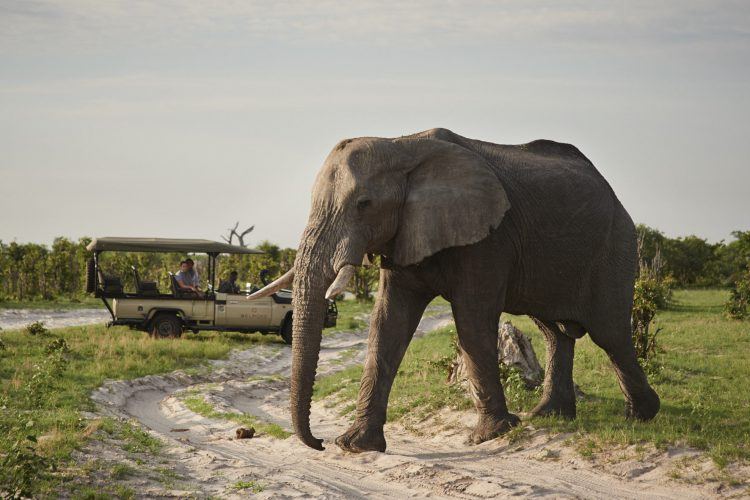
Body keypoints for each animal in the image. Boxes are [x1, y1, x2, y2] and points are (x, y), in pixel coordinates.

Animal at [253, 126, 664, 454]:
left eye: (364, 204)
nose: (319, 442)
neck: (401, 145)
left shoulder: (488, 238)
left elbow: (472, 320)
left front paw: (490, 436)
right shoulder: (405, 234)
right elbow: (388, 323)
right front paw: (356, 446)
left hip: (617, 246)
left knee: (609, 332)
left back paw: (642, 416)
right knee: (554, 332)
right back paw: (550, 416)